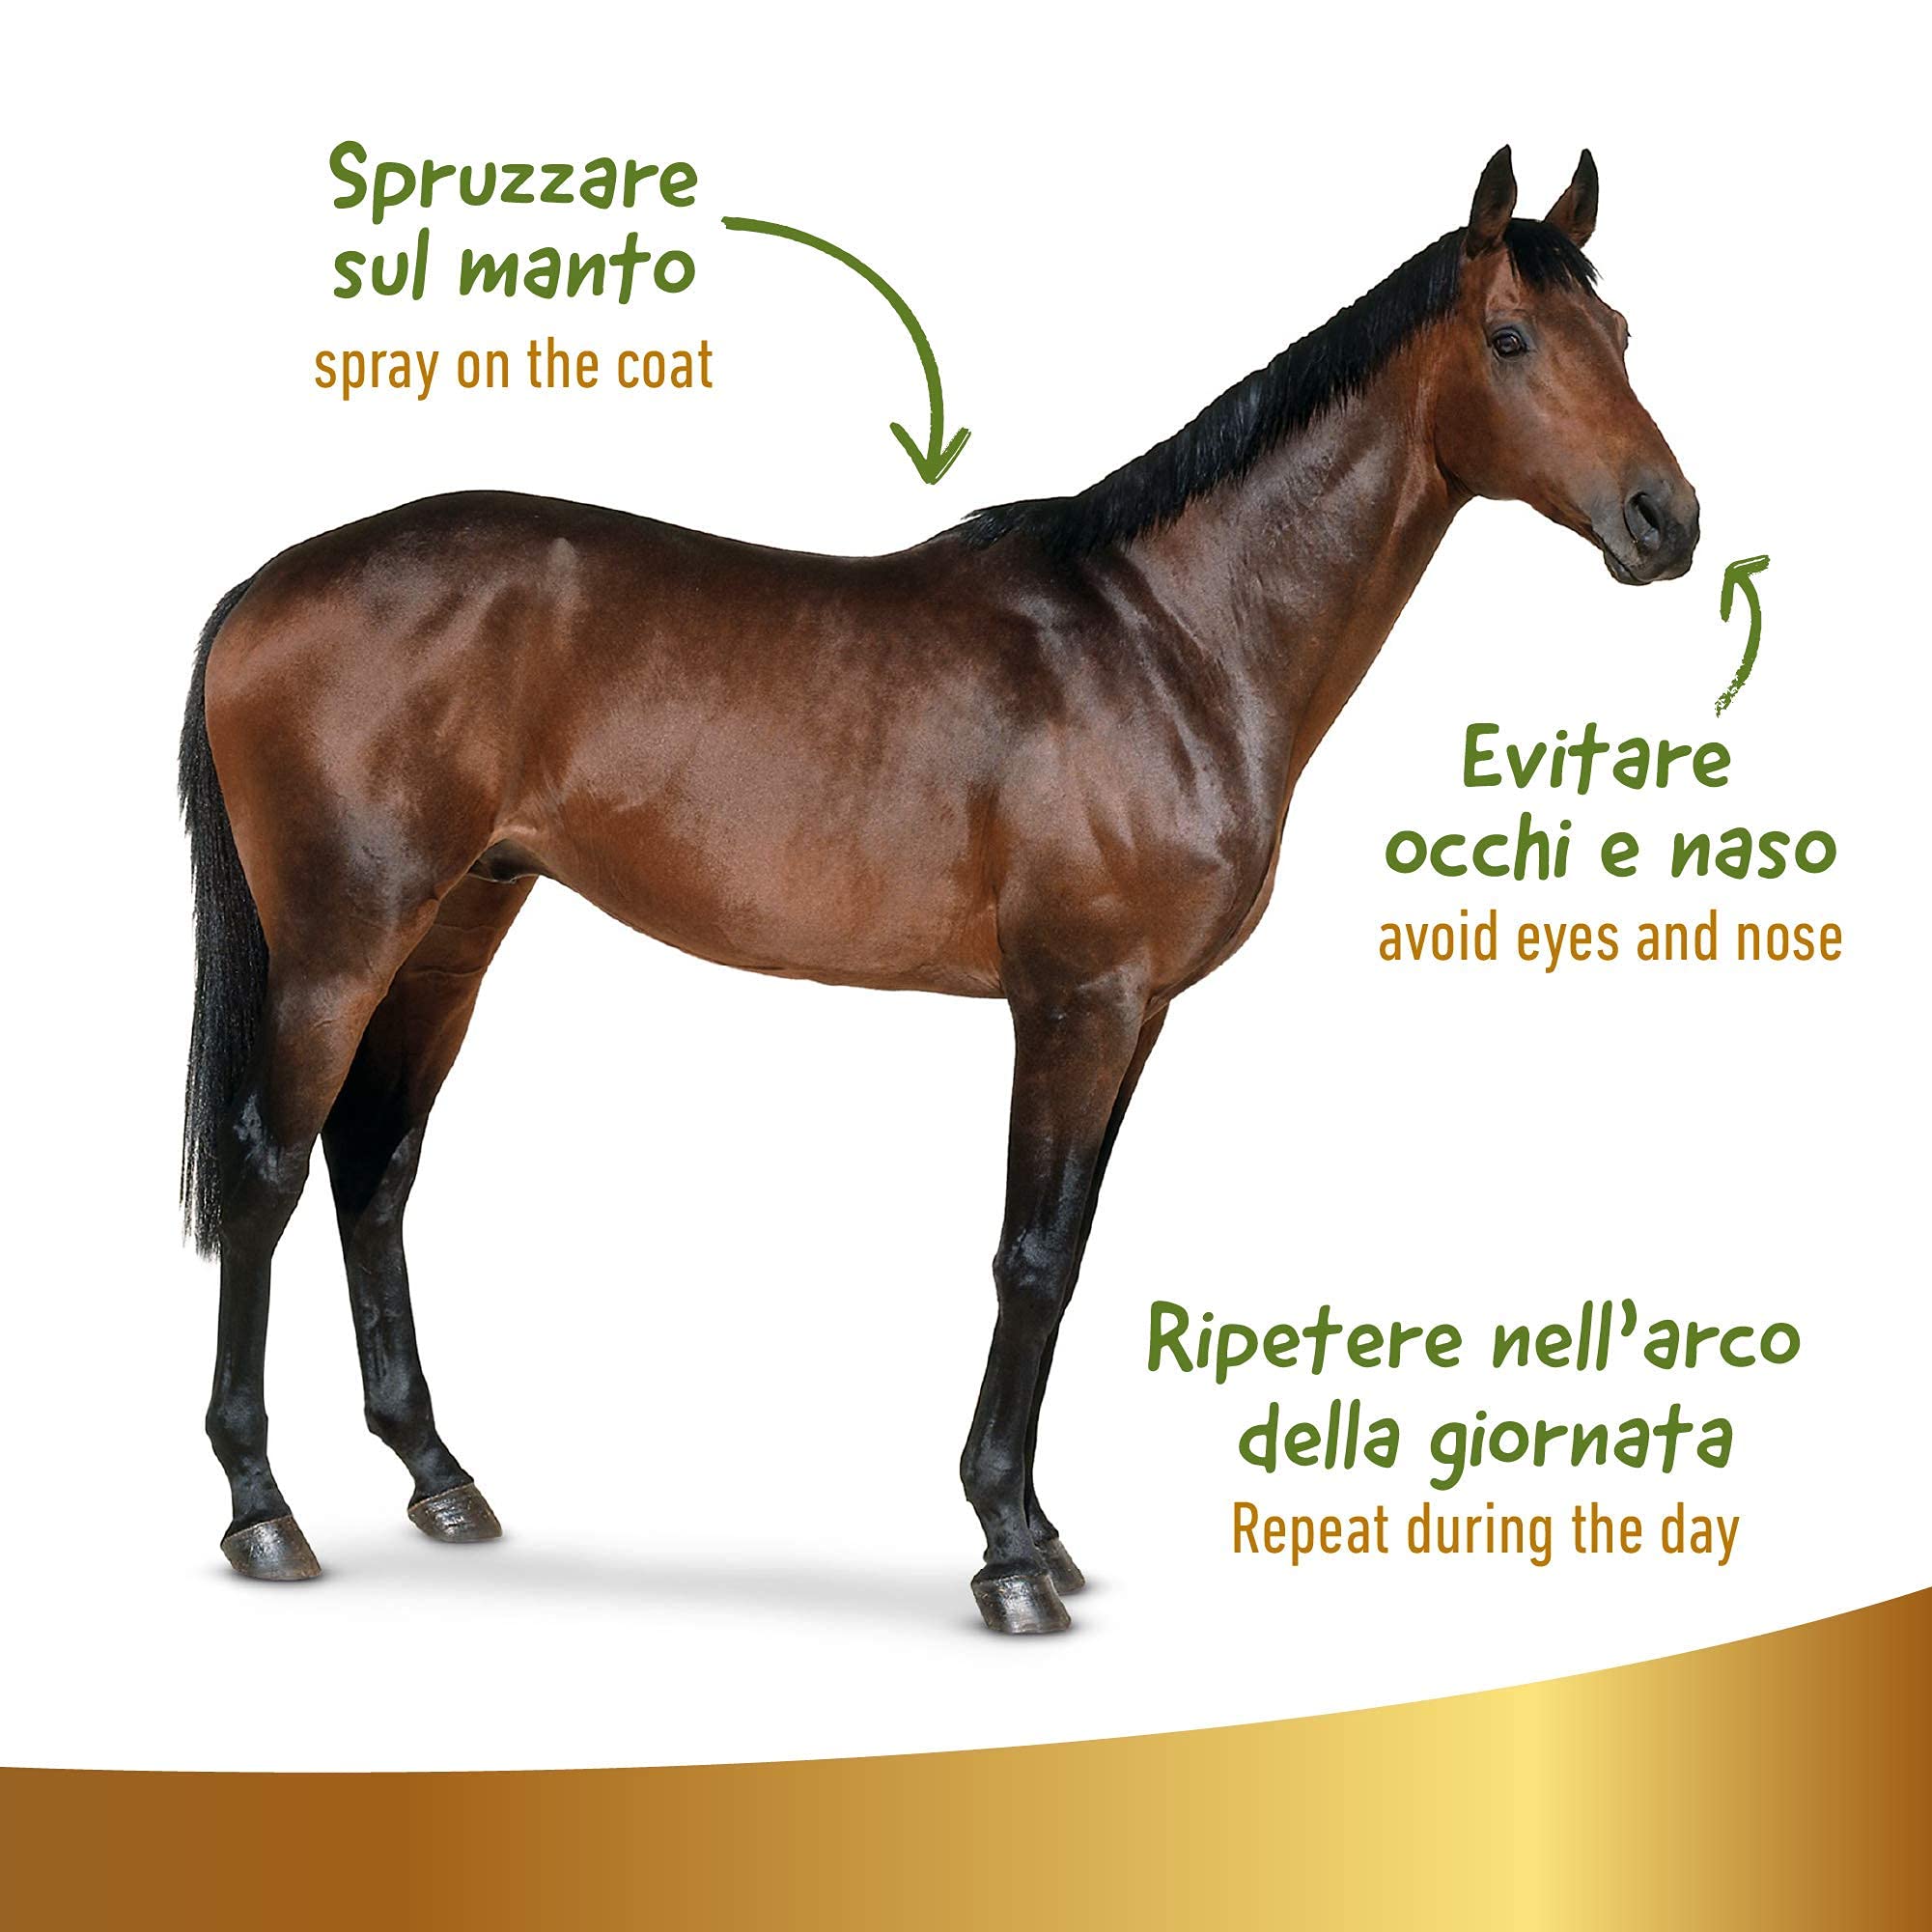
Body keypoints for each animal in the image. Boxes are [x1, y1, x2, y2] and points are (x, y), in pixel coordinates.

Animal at [181, 146, 1697, 1634]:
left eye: (1620, 334)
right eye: (1510, 338)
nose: (1666, 521)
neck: (1171, 639)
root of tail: (268, 585)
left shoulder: (1138, 1013)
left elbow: (1068, 1249)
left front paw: (1038, 1531)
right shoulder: (1074, 1001)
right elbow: (1030, 1258)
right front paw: (1010, 1557)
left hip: (454, 929)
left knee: (374, 1168)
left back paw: (440, 1477)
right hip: (339, 944)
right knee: (267, 1169)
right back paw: (262, 1512)